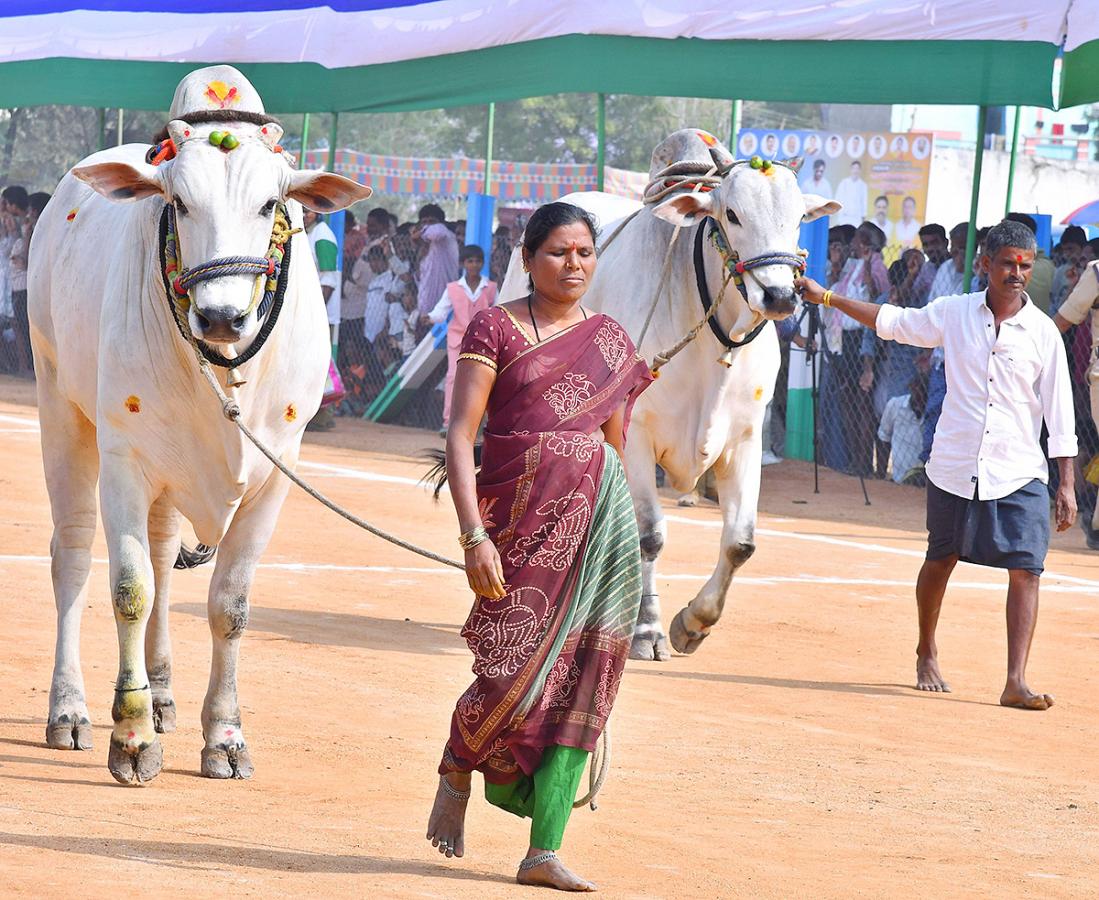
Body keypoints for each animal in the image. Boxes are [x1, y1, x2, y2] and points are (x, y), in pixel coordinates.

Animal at [27, 119, 371, 782]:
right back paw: (72, 709)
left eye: (269, 205)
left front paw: (226, 738)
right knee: (73, 555)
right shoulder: (125, 460)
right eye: (180, 203)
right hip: (59, 402)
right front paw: (132, 739)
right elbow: (129, 591)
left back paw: (161, 694)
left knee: (164, 556)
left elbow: (229, 606)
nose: (219, 317)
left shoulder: (277, 474)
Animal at [498, 165, 830, 659]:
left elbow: (741, 543)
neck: (717, 342)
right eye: (732, 214)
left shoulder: (745, 439)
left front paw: (694, 623)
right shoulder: (634, 435)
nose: (779, 296)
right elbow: (649, 534)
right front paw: (647, 629)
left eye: (799, 219)